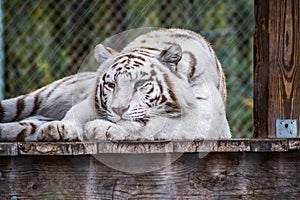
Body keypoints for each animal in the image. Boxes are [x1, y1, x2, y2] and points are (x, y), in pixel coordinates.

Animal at [0, 28, 232, 141]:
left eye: (141, 84)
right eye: (111, 85)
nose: (119, 109)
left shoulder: (206, 115)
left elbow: (154, 123)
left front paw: (101, 128)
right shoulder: (90, 102)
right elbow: (76, 111)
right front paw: (61, 128)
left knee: (27, 126)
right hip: (39, 97)